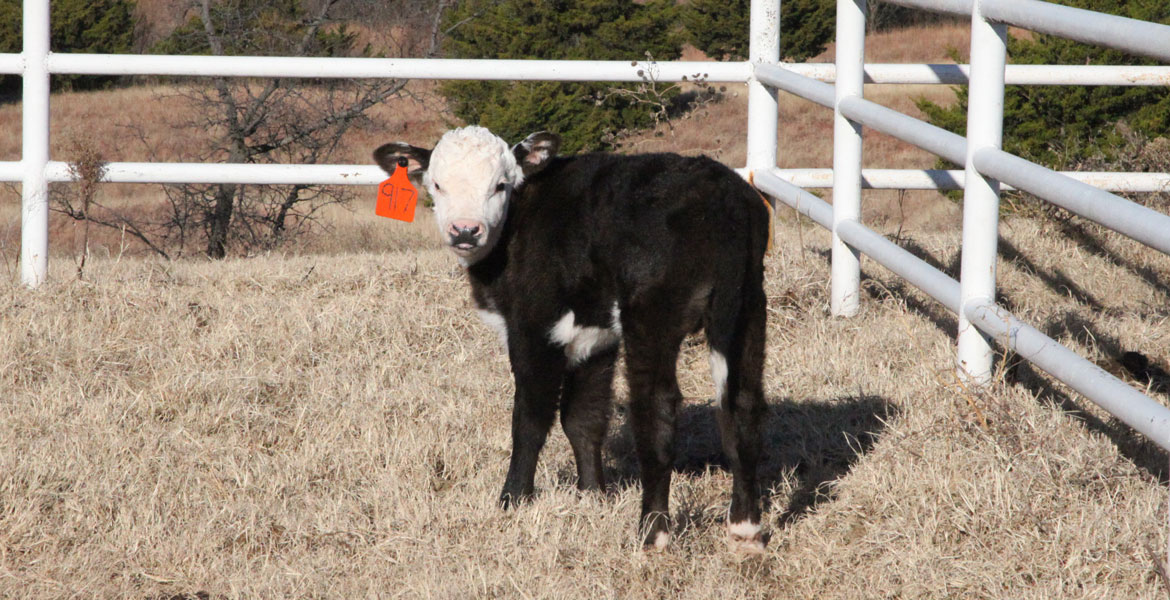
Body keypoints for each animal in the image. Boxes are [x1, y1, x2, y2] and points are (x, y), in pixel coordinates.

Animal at [374, 126, 772, 552]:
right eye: (437, 184)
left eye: (500, 185)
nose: (465, 230)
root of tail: (722, 196)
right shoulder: (594, 337)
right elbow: (583, 417)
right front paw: (593, 495)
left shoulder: (534, 328)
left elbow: (530, 420)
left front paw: (513, 498)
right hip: (747, 309)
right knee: (742, 404)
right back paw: (746, 529)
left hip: (651, 317)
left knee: (657, 408)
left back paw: (653, 533)